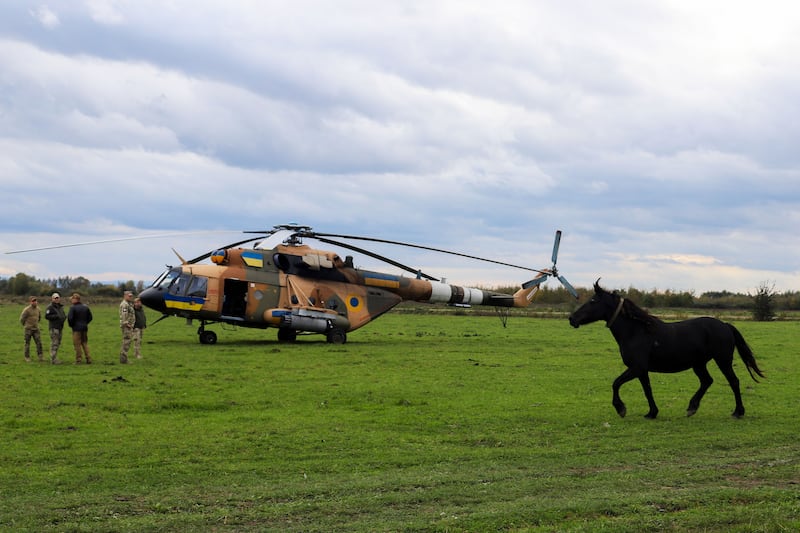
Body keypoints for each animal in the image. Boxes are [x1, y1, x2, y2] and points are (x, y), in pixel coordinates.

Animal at [568, 280, 764, 418]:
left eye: (593, 301)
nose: (572, 318)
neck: (636, 331)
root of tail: (724, 325)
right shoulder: (641, 370)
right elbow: (647, 390)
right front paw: (651, 413)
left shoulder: (637, 368)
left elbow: (616, 383)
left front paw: (621, 408)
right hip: (699, 364)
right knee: (707, 381)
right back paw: (692, 407)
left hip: (722, 360)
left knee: (734, 382)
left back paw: (738, 412)